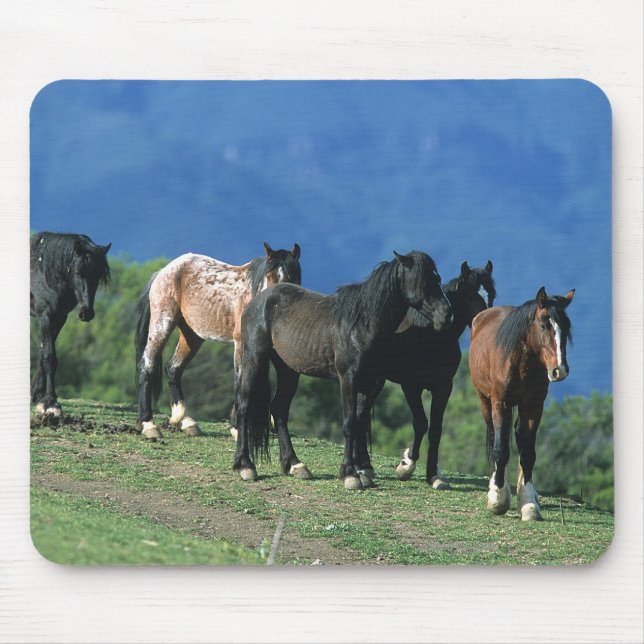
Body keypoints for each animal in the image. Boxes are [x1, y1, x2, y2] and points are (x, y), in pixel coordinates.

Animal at [30, 232, 111, 416]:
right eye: (77, 273)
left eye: (98, 276)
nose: (86, 313)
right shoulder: (46, 316)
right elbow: (49, 356)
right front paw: (50, 403)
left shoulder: (59, 318)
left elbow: (43, 353)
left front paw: (38, 397)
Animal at [135, 242, 301, 439]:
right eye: (268, 276)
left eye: (290, 277)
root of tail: (163, 271)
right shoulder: (241, 345)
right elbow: (240, 382)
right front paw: (237, 428)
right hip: (162, 323)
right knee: (147, 365)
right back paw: (148, 424)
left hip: (192, 335)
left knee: (173, 368)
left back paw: (185, 421)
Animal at [233, 250, 453, 490]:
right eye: (424, 281)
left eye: (437, 278)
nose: (446, 315)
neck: (362, 324)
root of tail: (259, 300)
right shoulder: (349, 378)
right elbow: (349, 423)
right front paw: (350, 474)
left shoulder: (370, 382)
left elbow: (358, 422)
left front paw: (360, 471)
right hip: (254, 359)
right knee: (244, 406)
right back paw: (245, 466)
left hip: (288, 370)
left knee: (279, 409)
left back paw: (294, 465)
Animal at [382, 260, 496, 488]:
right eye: (470, 296)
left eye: (492, 296)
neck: (431, 336)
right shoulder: (411, 387)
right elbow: (421, 423)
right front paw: (406, 464)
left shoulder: (443, 387)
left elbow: (436, 429)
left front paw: (433, 475)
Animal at [469, 286, 574, 521]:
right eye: (544, 325)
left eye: (566, 327)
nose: (559, 370)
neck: (522, 363)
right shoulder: (501, 403)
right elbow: (500, 448)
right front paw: (498, 499)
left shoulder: (533, 406)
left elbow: (527, 453)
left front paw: (528, 504)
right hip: (485, 402)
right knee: (495, 435)